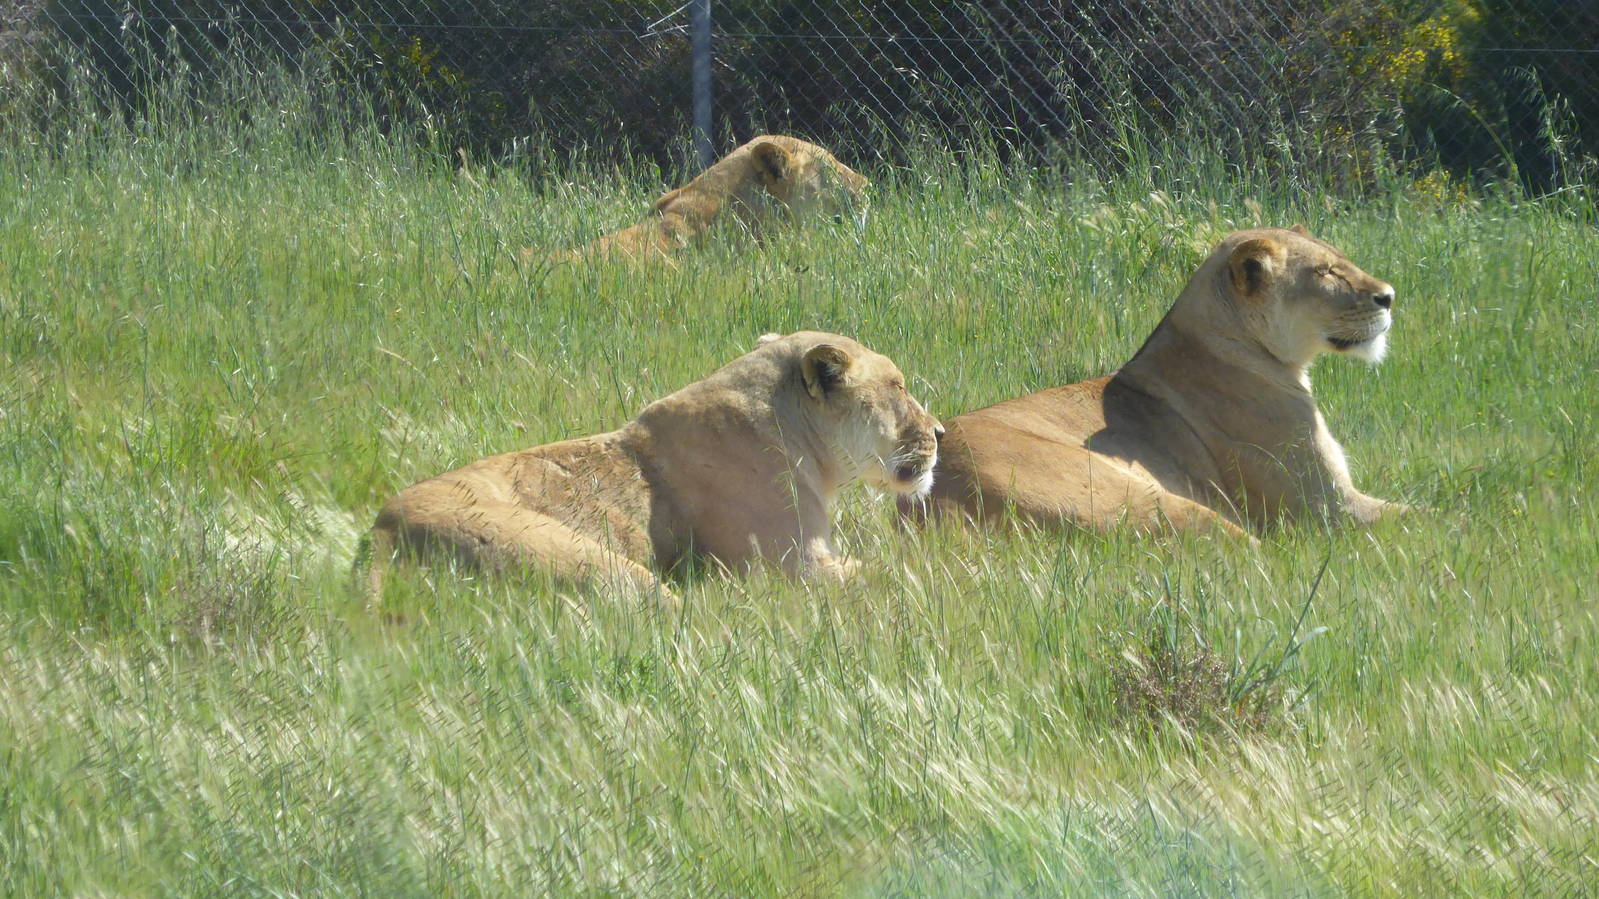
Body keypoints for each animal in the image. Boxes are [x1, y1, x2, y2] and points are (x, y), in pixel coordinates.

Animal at [367, 331, 941, 605]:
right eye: (899, 386)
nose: (939, 433)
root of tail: (378, 533)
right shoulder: (798, 568)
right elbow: (893, 573)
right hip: (586, 559)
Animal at [910, 226, 1406, 535]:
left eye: (1342, 261)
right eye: (1325, 271)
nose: (1389, 296)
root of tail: (926, 503)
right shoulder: (1328, 509)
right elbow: (1418, 517)